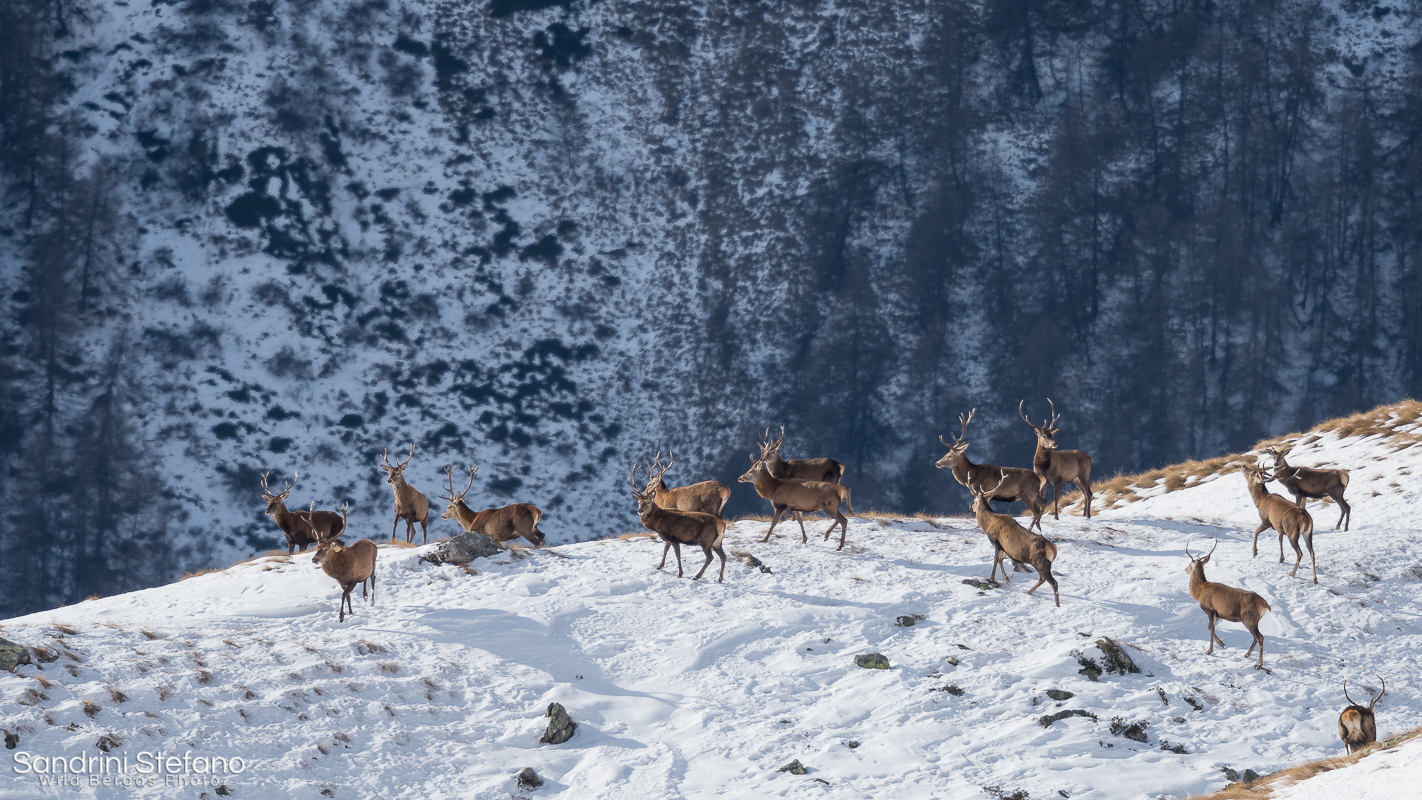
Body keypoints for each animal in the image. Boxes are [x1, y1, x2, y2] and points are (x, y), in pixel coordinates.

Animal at [968, 477, 1060, 606]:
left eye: (974, 500)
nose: (970, 506)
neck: (988, 524)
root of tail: (1054, 550)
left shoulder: (996, 542)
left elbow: (995, 560)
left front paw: (991, 579)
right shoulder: (1005, 547)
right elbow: (1000, 560)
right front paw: (1006, 579)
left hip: (1041, 562)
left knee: (1053, 582)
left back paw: (1057, 605)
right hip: (1040, 563)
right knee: (1042, 579)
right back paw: (1028, 592)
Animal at [1183, 538, 1272, 670]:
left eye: (1190, 565)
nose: (1185, 569)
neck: (1200, 592)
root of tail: (1265, 605)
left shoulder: (1210, 610)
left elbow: (1211, 628)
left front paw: (1209, 650)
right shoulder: (1219, 614)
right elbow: (1210, 627)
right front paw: (1221, 643)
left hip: (1249, 618)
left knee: (1260, 637)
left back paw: (1259, 665)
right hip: (1253, 620)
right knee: (1256, 637)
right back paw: (1247, 654)